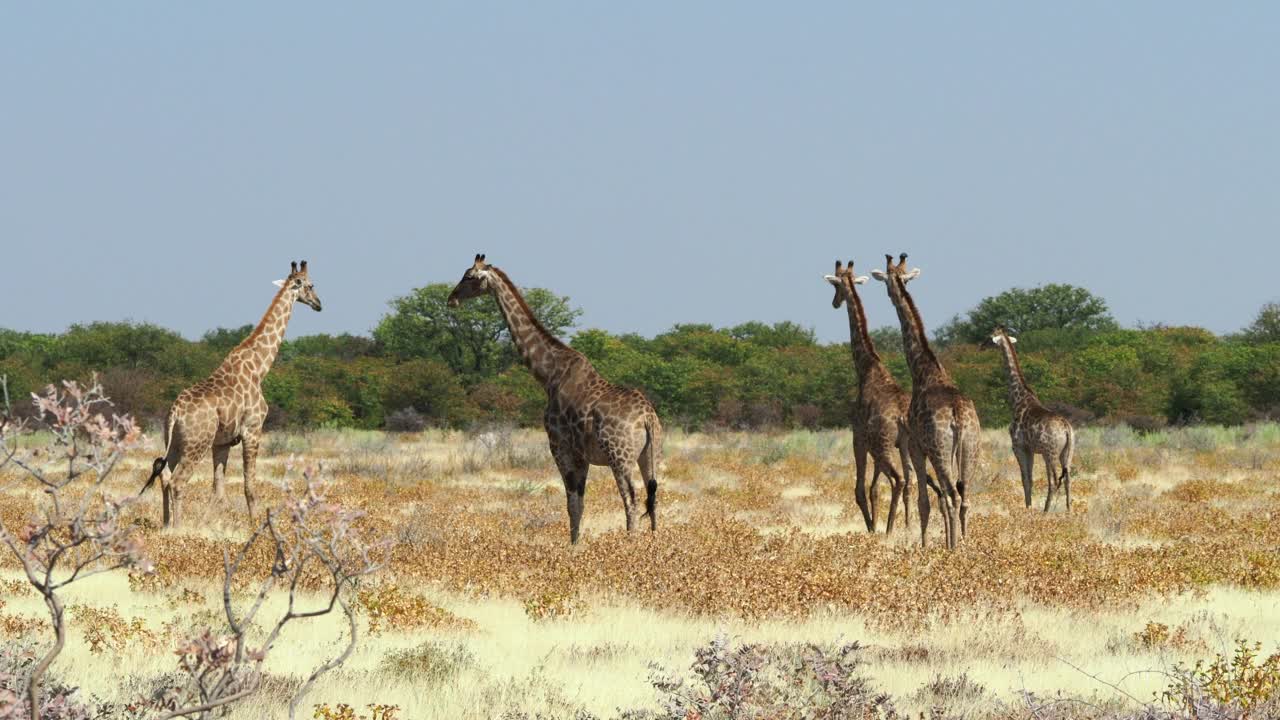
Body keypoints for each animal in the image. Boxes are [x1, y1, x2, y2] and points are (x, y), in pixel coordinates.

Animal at [136, 260, 320, 525]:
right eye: (311, 285)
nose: (319, 304)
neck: (259, 368)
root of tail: (175, 412)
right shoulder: (253, 430)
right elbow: (249, 485)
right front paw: (255, 524)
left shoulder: (222, 443)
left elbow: (218, 489)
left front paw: (210, 523)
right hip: (196, 444)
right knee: (178, 482)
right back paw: (178, 527)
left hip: (175, 443)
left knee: (165, 476)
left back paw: (166, 523)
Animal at [448, 254, 665, 540]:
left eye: (469, 276)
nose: (451, 298)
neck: (548, 375)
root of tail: (647, 418)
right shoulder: (581, 454)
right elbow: (579, 503)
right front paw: (577, 544)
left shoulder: (560, 446)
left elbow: (572, 504)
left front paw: (573, 546)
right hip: (652, 454)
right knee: (654, 498)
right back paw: (653, 543)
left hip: (620, 456)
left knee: (631, 498)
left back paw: (630, 542)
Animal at [824, 260, 916, 530]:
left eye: (835, 286)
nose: (834, 302)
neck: (866, 367)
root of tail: (902, 418)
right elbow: (874, 488)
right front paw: (876, 523)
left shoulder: (858, 436)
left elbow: (860, 489)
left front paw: (871, 527)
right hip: (905, 445)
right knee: (910, 481)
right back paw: (906, 527)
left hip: (882, 445)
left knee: (898, 480)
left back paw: (887, 530)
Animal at [870, 249, 977, 545]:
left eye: (887, 279)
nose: (890, 294)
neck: (924, 371)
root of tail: (959, 417)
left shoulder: (917, 445)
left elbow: (924, 501)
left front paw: (925, 546)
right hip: (970, 449)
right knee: (964, 498)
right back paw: (965, 544)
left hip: (940, 450)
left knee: (952, 496)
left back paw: (953, 548)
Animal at [983, 322, 1075, 512]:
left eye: (989, 337)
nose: (981, 346)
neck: (1018, 400)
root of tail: (1067, 430)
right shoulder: (1030, 449)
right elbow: (1030, 479)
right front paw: (1029, 507)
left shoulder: (1018, 447)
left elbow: (1025, 479)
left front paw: (1028, 509)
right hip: (1068, 452)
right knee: (1068, 479)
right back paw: (1069, 511)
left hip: (1050, 452)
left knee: (1054, 480)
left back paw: (1046, 511)